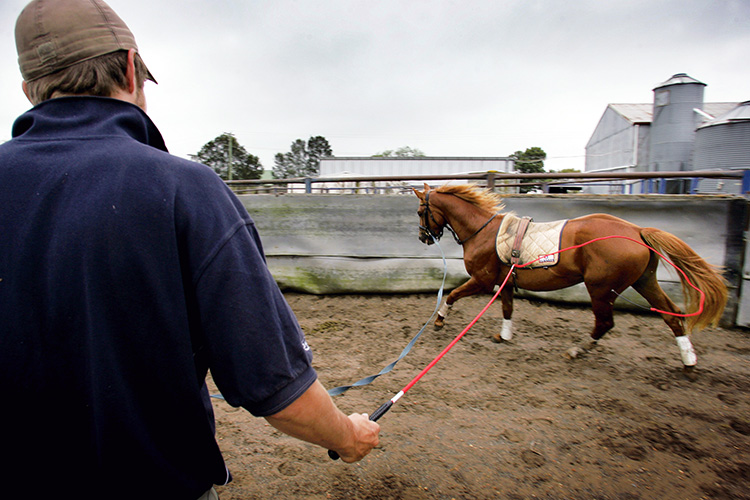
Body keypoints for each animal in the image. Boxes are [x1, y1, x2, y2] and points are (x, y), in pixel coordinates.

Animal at [414, 184, 732, 372]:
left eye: (420, 211)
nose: (422, 238)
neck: (482, 232)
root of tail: (637, 231)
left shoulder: (483, 280)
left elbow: (453, 294)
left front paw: (440, 320)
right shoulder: (505, 283)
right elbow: (507, 309)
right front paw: (503, 336)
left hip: (602, 288)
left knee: (605, 323)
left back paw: (576, 350)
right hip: (644, 281)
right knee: (672, 316)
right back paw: (688, 361)